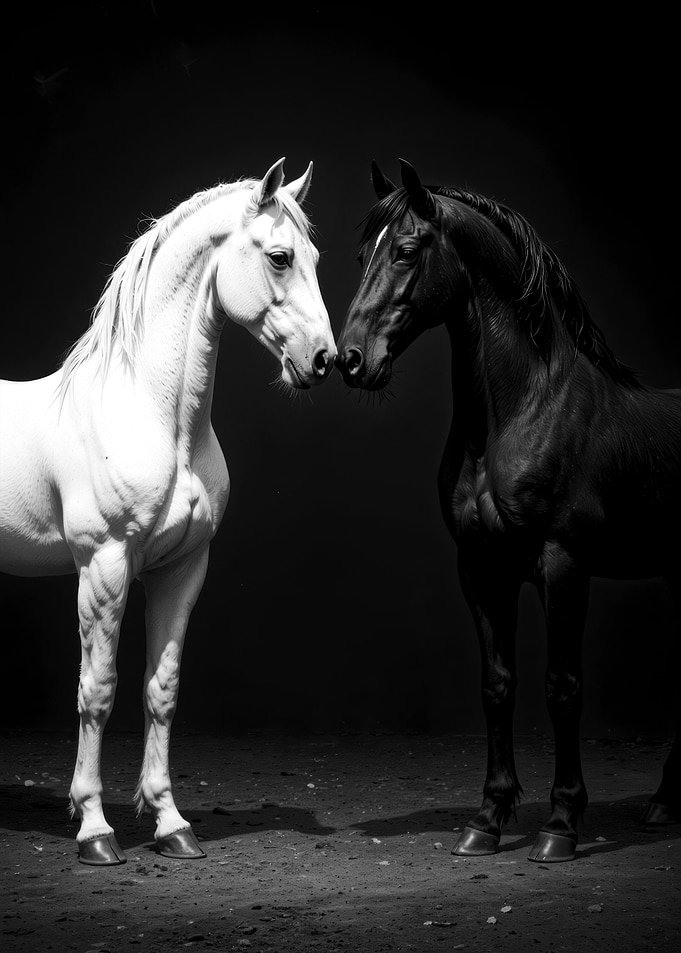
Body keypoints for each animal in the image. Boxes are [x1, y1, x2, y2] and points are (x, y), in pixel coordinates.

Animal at [0, 158, 335, 865]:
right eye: (280, 256)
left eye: (316, 257)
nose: (324, 360)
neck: (153, 416)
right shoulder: (103, 567)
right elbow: (97, 689)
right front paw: (94, 829)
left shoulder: (182, 569)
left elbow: (163, 689)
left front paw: (170, 822)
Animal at [335, 158, 681, 863]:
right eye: (362, 256)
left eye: (407, 250)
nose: (351, 360)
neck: (522, 409)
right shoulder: (481, 567)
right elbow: (498, 685)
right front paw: (488, 819)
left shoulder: (563, 566)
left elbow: (562, 687)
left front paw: (561, 824)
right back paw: (663, 801)